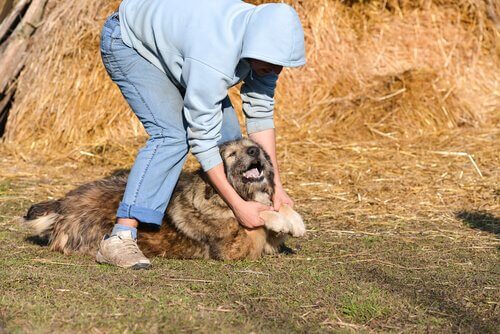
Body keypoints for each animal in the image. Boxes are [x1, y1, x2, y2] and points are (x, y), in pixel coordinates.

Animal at [22, 138, 304, 260]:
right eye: (232, 155)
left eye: (255, 147)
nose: (256, 150)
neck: (220, 197)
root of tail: (63, 203)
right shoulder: (233, 250)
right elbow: (259, 215)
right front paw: (273, 216)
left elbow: (276, 210)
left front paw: (293, 219)